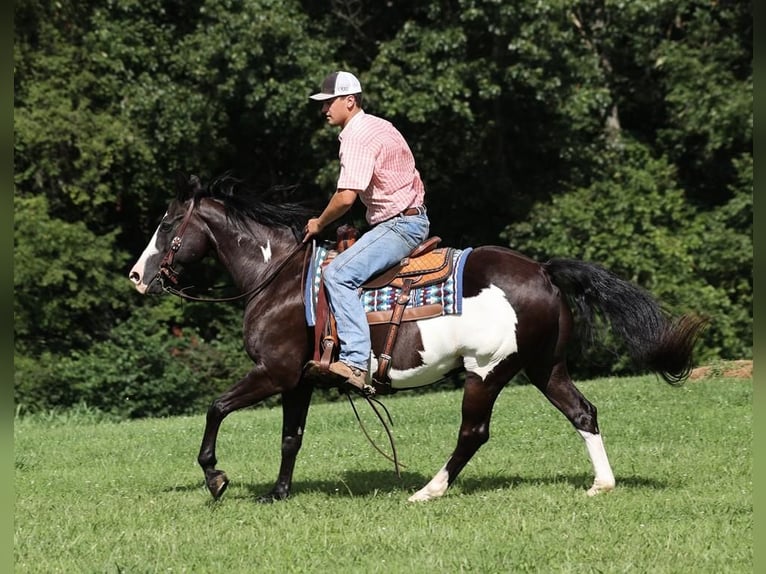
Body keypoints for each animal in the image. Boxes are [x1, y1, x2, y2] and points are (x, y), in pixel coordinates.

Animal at [127, 174, 708, 504]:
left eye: (168, 223)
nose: (136, 276)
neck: (282, 280)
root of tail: (543, 271)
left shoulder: (273, 372)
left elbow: (216, 408)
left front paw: (216, 479)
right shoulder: (298, 381)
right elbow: (291, 437)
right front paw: (278, 494)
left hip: (486, 371)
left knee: (473, 433)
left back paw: (428, 491)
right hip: (545, 367)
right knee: (583, 412)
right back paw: (601, 485)